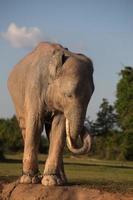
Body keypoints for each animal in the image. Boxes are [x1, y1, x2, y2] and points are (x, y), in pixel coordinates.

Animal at [7, 42, 94, 186]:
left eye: (90, 97)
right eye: (68, 95)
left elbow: (58, 128)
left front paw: (51, 181)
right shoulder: (34, 87)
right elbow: (35, 124)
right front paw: (30, 180)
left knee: (50, 133)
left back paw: (62, 180)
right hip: (16, 101)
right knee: (25, 128)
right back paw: (26, 177)